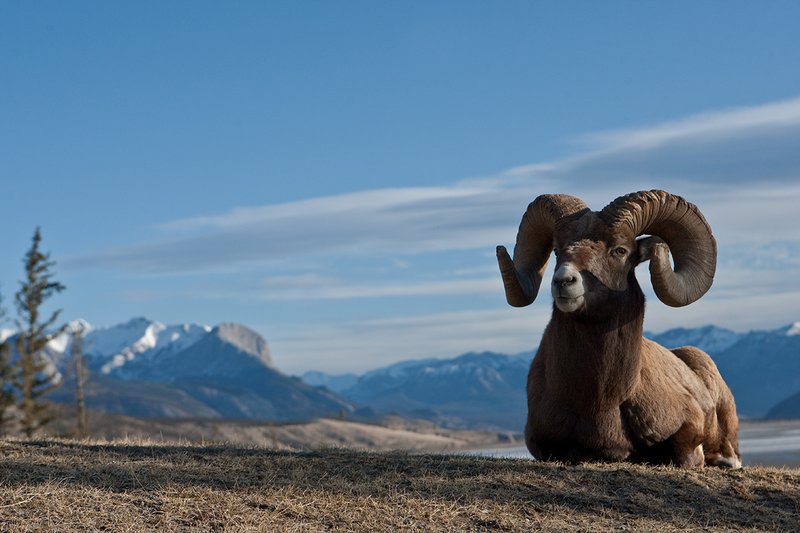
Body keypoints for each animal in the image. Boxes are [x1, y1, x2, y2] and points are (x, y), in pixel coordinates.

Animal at [497, 190, 741, 468]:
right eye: (557, 251)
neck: (603, 400)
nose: (563, 281)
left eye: (620, 250)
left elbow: (685, 454)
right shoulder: (544, 445)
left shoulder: (690, 424)